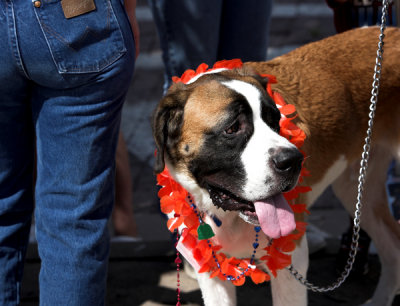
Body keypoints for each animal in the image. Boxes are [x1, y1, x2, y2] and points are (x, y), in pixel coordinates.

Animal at [151, 26, 400, 306]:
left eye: (275, 120)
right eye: (232, 128)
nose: (293, 161)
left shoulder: (292, 263)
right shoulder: (211, 273)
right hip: (356, 189)